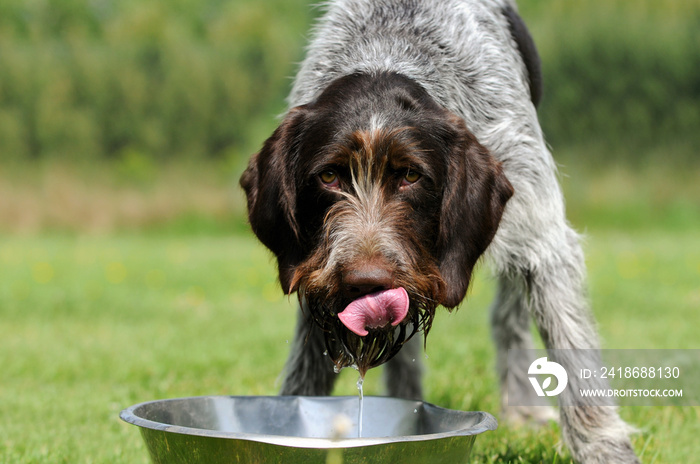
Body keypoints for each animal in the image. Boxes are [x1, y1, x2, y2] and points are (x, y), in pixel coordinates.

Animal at [241, 1, 640, 462]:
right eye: (328, 176)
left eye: (411, 176)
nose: (366, 283)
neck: (387, 49)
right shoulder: (318, 274)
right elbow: (309, 365)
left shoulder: (541, 234)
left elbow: (572, 353)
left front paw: (604, 448)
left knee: (508, 317)